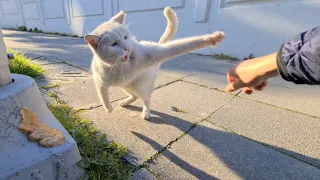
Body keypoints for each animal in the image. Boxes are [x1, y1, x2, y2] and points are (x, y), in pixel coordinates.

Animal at [85, 7, 225, 119]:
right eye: (114, 44)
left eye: (125, 37)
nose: (127, 48)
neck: (121, 66)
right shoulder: (100, 82)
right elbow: (103, 97)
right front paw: (109, 109)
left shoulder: (153, 54)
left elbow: (182, 45)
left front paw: (212, 38)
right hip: (126, 86)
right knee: (135, 96)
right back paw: (125, 102)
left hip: (142, 86)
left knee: (146, 99)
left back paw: (145, 112)